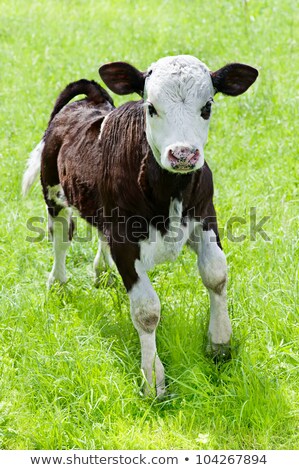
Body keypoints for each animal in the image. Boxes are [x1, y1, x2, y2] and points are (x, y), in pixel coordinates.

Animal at [22, 57, 258, 398]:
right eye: (151, 107)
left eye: (207, 106)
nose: (183, 154)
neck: (170, 191)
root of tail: (91, 102)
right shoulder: (125, 239)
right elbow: (147, 311)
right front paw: (152, 380)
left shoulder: (205, 216)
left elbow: (216, 275)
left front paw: (220, 344)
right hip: (52, 191)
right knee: (62, 238)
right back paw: (59, 283)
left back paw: (103, 272)